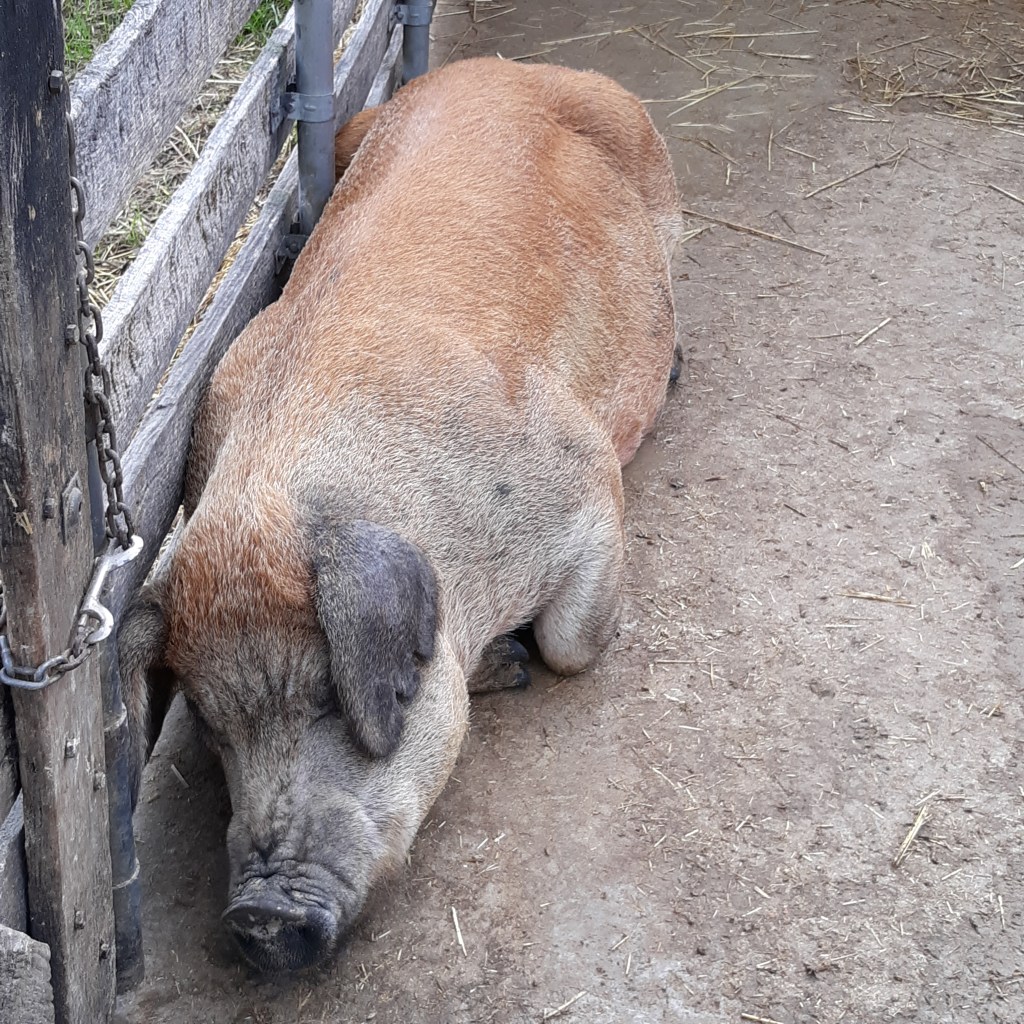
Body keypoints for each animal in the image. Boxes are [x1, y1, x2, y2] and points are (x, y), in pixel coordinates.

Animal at [119, 56, 681, 973]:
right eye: (208, 720)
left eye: (327, 693)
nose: (258, 918)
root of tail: (512, 68)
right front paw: (503, 668)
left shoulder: (587, 476)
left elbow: (570, 647)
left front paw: (531, 659)